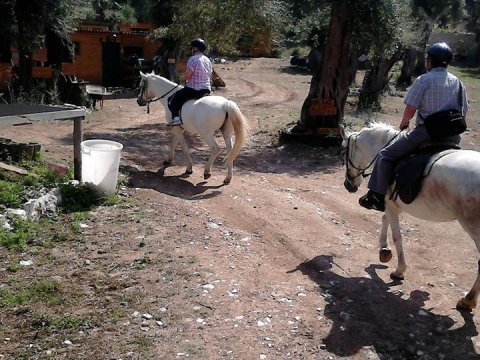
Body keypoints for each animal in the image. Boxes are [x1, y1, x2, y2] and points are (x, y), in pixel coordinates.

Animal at [340, 122, 480, 310]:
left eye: (343, 151)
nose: (348, 185)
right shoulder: (395, 204)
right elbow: (384, 219)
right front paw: (384, 249)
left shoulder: (390, 204)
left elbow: (397, 236)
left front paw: (399, 270)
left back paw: (468, 299)